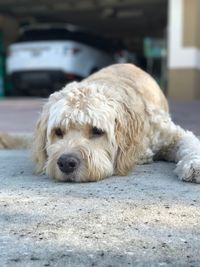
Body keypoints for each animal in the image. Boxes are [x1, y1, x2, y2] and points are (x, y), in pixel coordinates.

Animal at [0, 63, 200, 183]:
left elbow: (190, 142)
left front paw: (195, 165)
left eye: (97, 131)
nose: (65, 163)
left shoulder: (171, 134)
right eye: (58, 131)